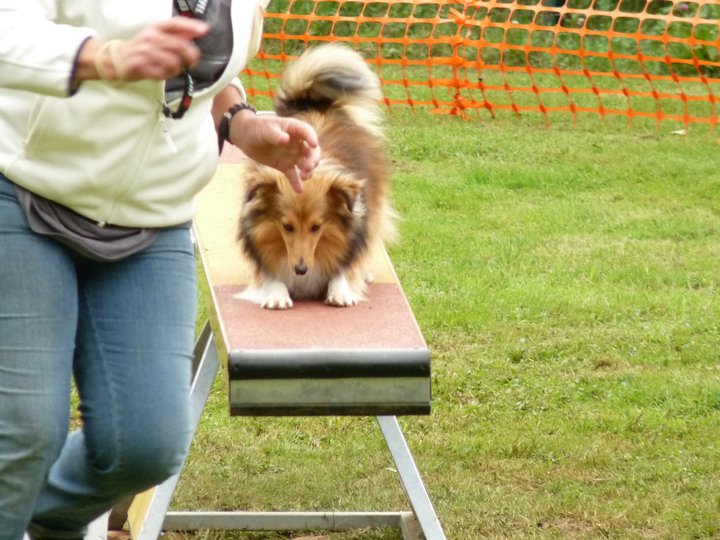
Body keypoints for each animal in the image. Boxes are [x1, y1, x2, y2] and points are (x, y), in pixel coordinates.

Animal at [235, 44, 394, 310]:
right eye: (286, 226)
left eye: (317, 227)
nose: (300, 270)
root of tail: (312, 102)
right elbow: (270, 274)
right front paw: (277, 294)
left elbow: (343, 268)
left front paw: (340, 290)